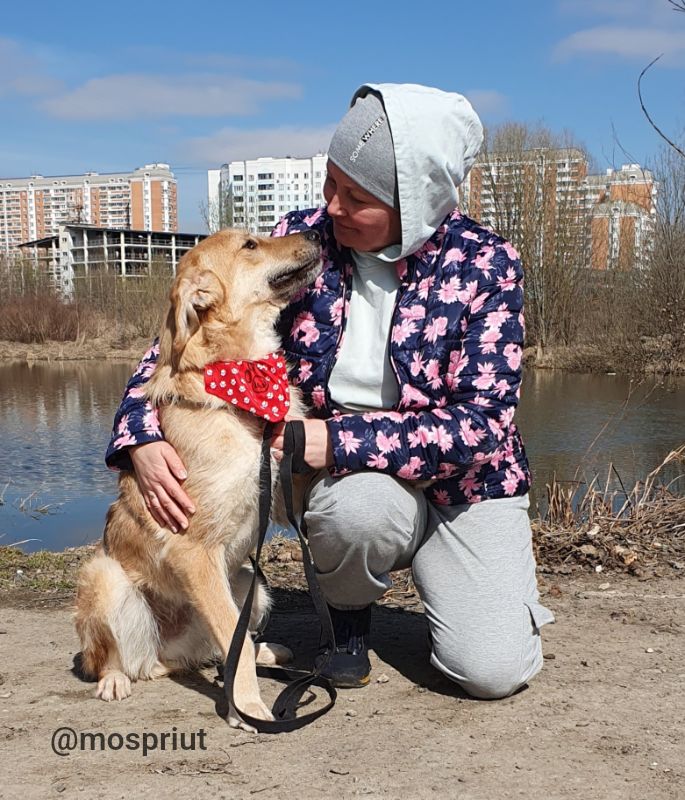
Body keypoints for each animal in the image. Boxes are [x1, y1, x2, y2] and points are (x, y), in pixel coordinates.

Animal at [76, 227, 322, 732]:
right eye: (250, 246)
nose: (314, 230)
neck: (242, 383)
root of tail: (166, 653)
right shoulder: (194, 550)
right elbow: (234, 640)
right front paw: (247, 707)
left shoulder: (280, 493)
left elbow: (236, 641)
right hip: (103, 576)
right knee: (119, 659)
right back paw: (115, 679)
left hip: (250, 582)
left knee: (217, 650)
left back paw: (265, 651)